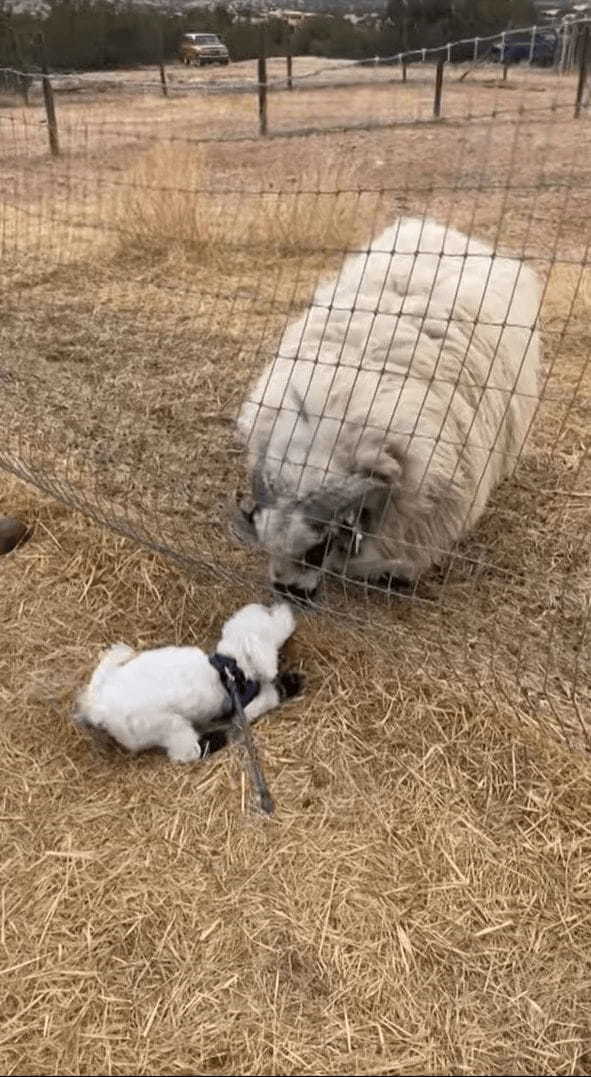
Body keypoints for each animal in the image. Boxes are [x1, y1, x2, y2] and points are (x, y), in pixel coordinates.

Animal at [74, 603, 301, 762]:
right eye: (271, 615)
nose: (287, 607)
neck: (232, 664)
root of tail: (100, 708)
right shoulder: (242, 709)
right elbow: (267, 698)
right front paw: (289, 684)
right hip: (168, 726)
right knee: (185, 752)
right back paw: (216, 739)